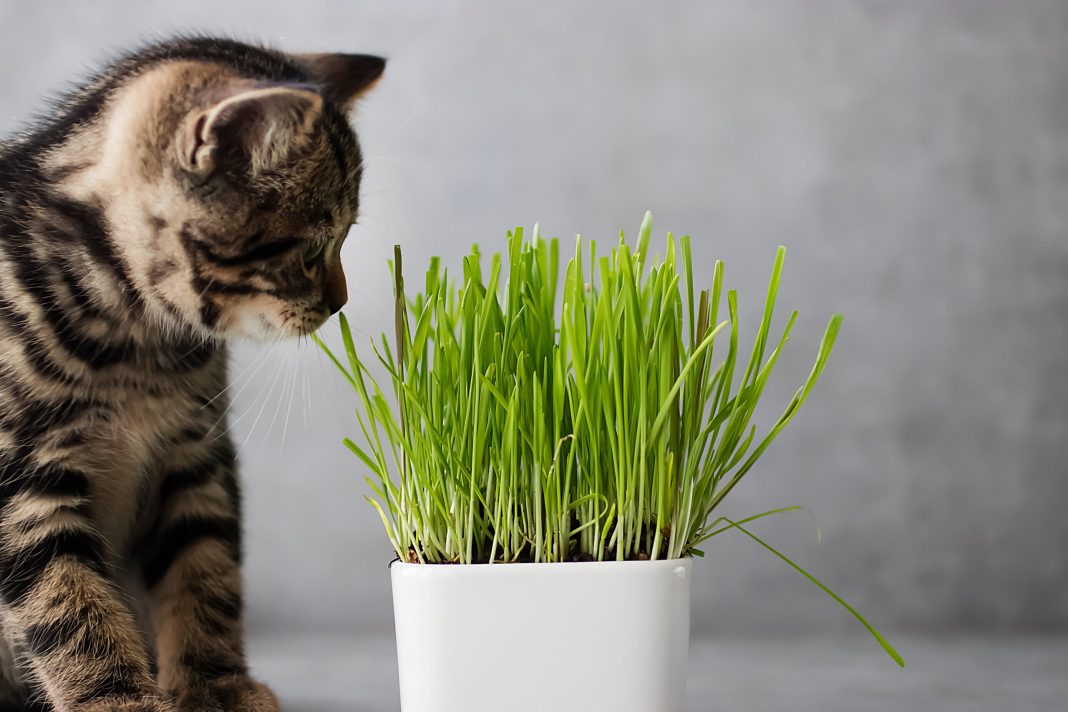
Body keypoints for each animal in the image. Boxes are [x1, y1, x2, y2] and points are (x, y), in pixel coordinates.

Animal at [0, 36, 386, 708]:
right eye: (314, 248)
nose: (339, 302)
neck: (134, 343)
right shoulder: (21, 478)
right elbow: (65, 597)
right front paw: (115, 697)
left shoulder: (196, 453)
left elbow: (205, 567)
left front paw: (216, 685)